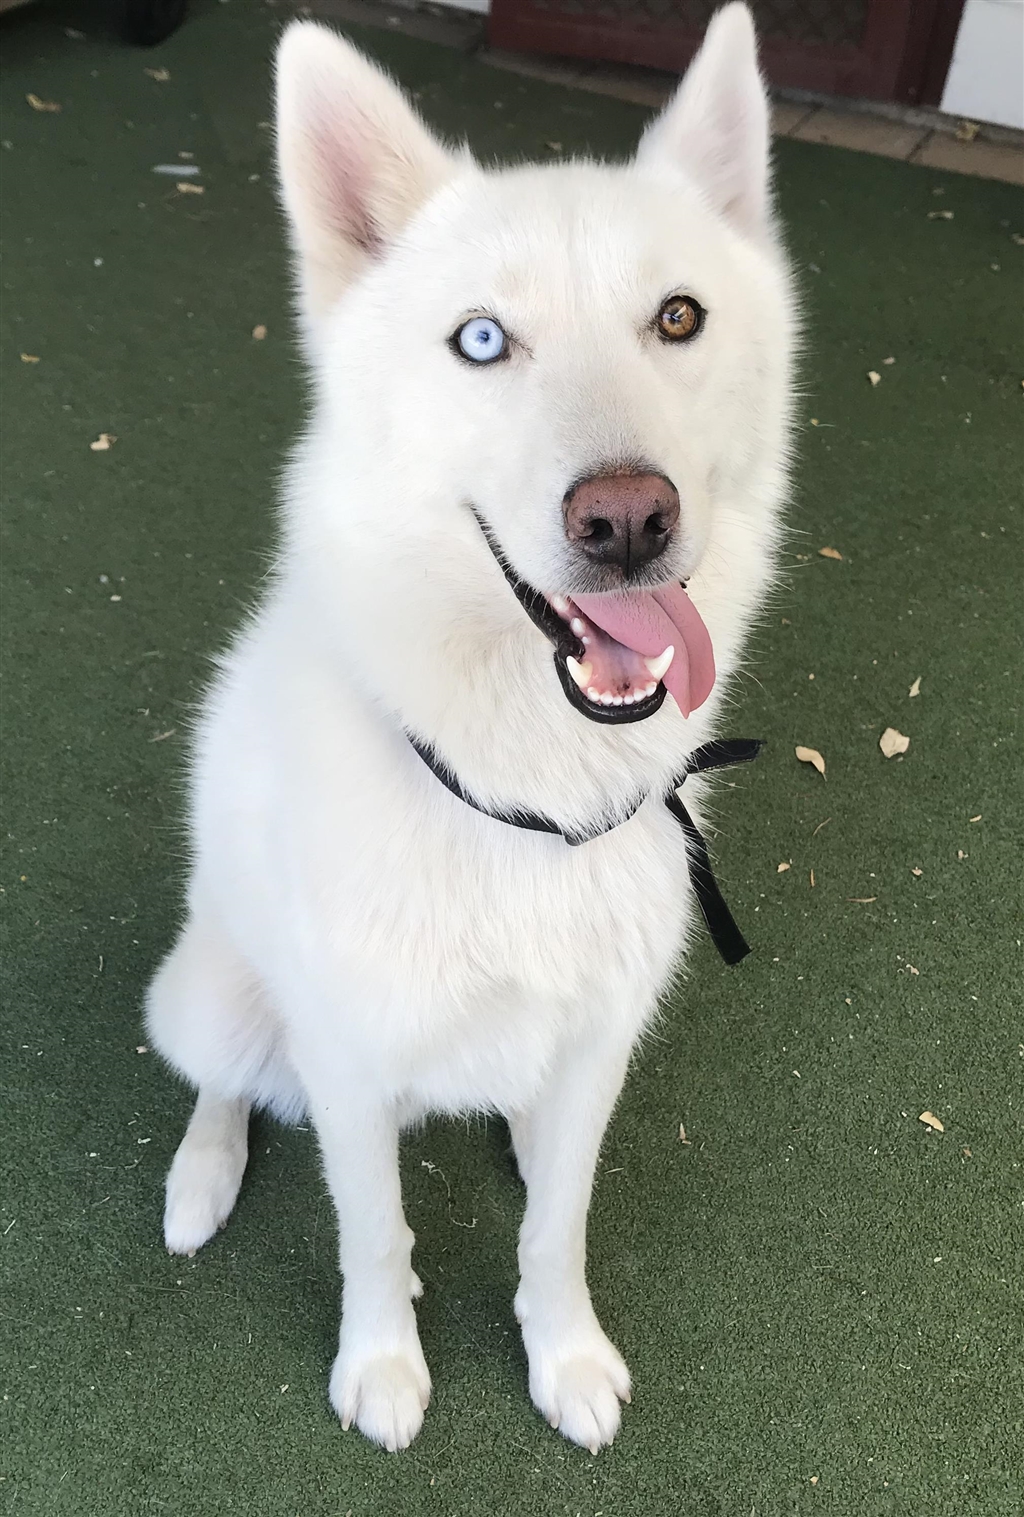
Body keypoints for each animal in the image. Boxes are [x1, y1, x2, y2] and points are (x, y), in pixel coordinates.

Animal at [144, 2, 796, 1453]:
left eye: (678, 317)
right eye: (482, 341)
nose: (628, 519)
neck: (524, 799)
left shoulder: (599, 1048)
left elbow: (556, 1227)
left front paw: (564, 1355)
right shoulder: (344, 1062)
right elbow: (373, 1231)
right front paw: (383, 1365)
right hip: (213, 987)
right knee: (222, 1077)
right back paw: (202, 1174)